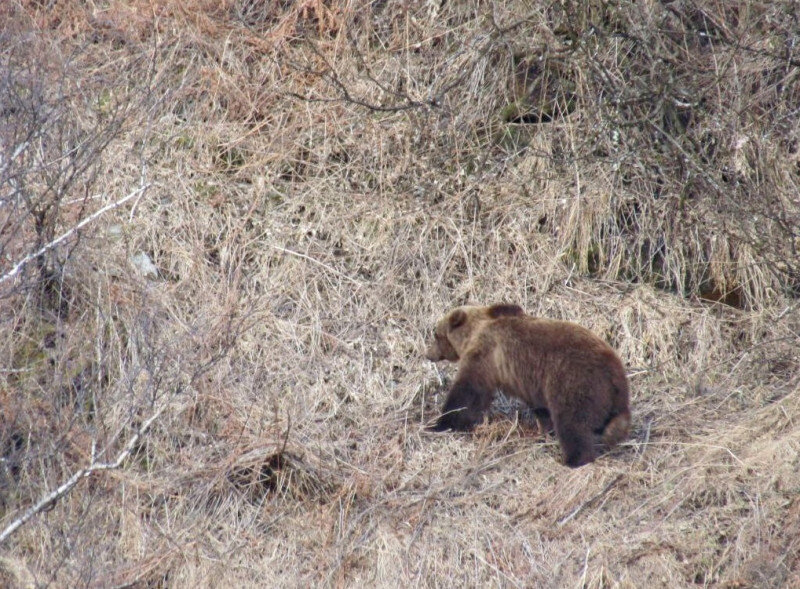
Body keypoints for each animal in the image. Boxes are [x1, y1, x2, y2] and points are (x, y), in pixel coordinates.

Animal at [424, 306, 632, 466]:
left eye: (436, 334)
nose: (428, 354)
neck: (471, 332)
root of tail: (614, 369)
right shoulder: (531, 383)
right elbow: (540, 408)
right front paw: (544, 430)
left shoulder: (485, 355)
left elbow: (468, 392)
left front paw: (440, 423)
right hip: (611, 395)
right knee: (614, 421)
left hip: (575, 380)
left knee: (572, 422)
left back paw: (573, 459)